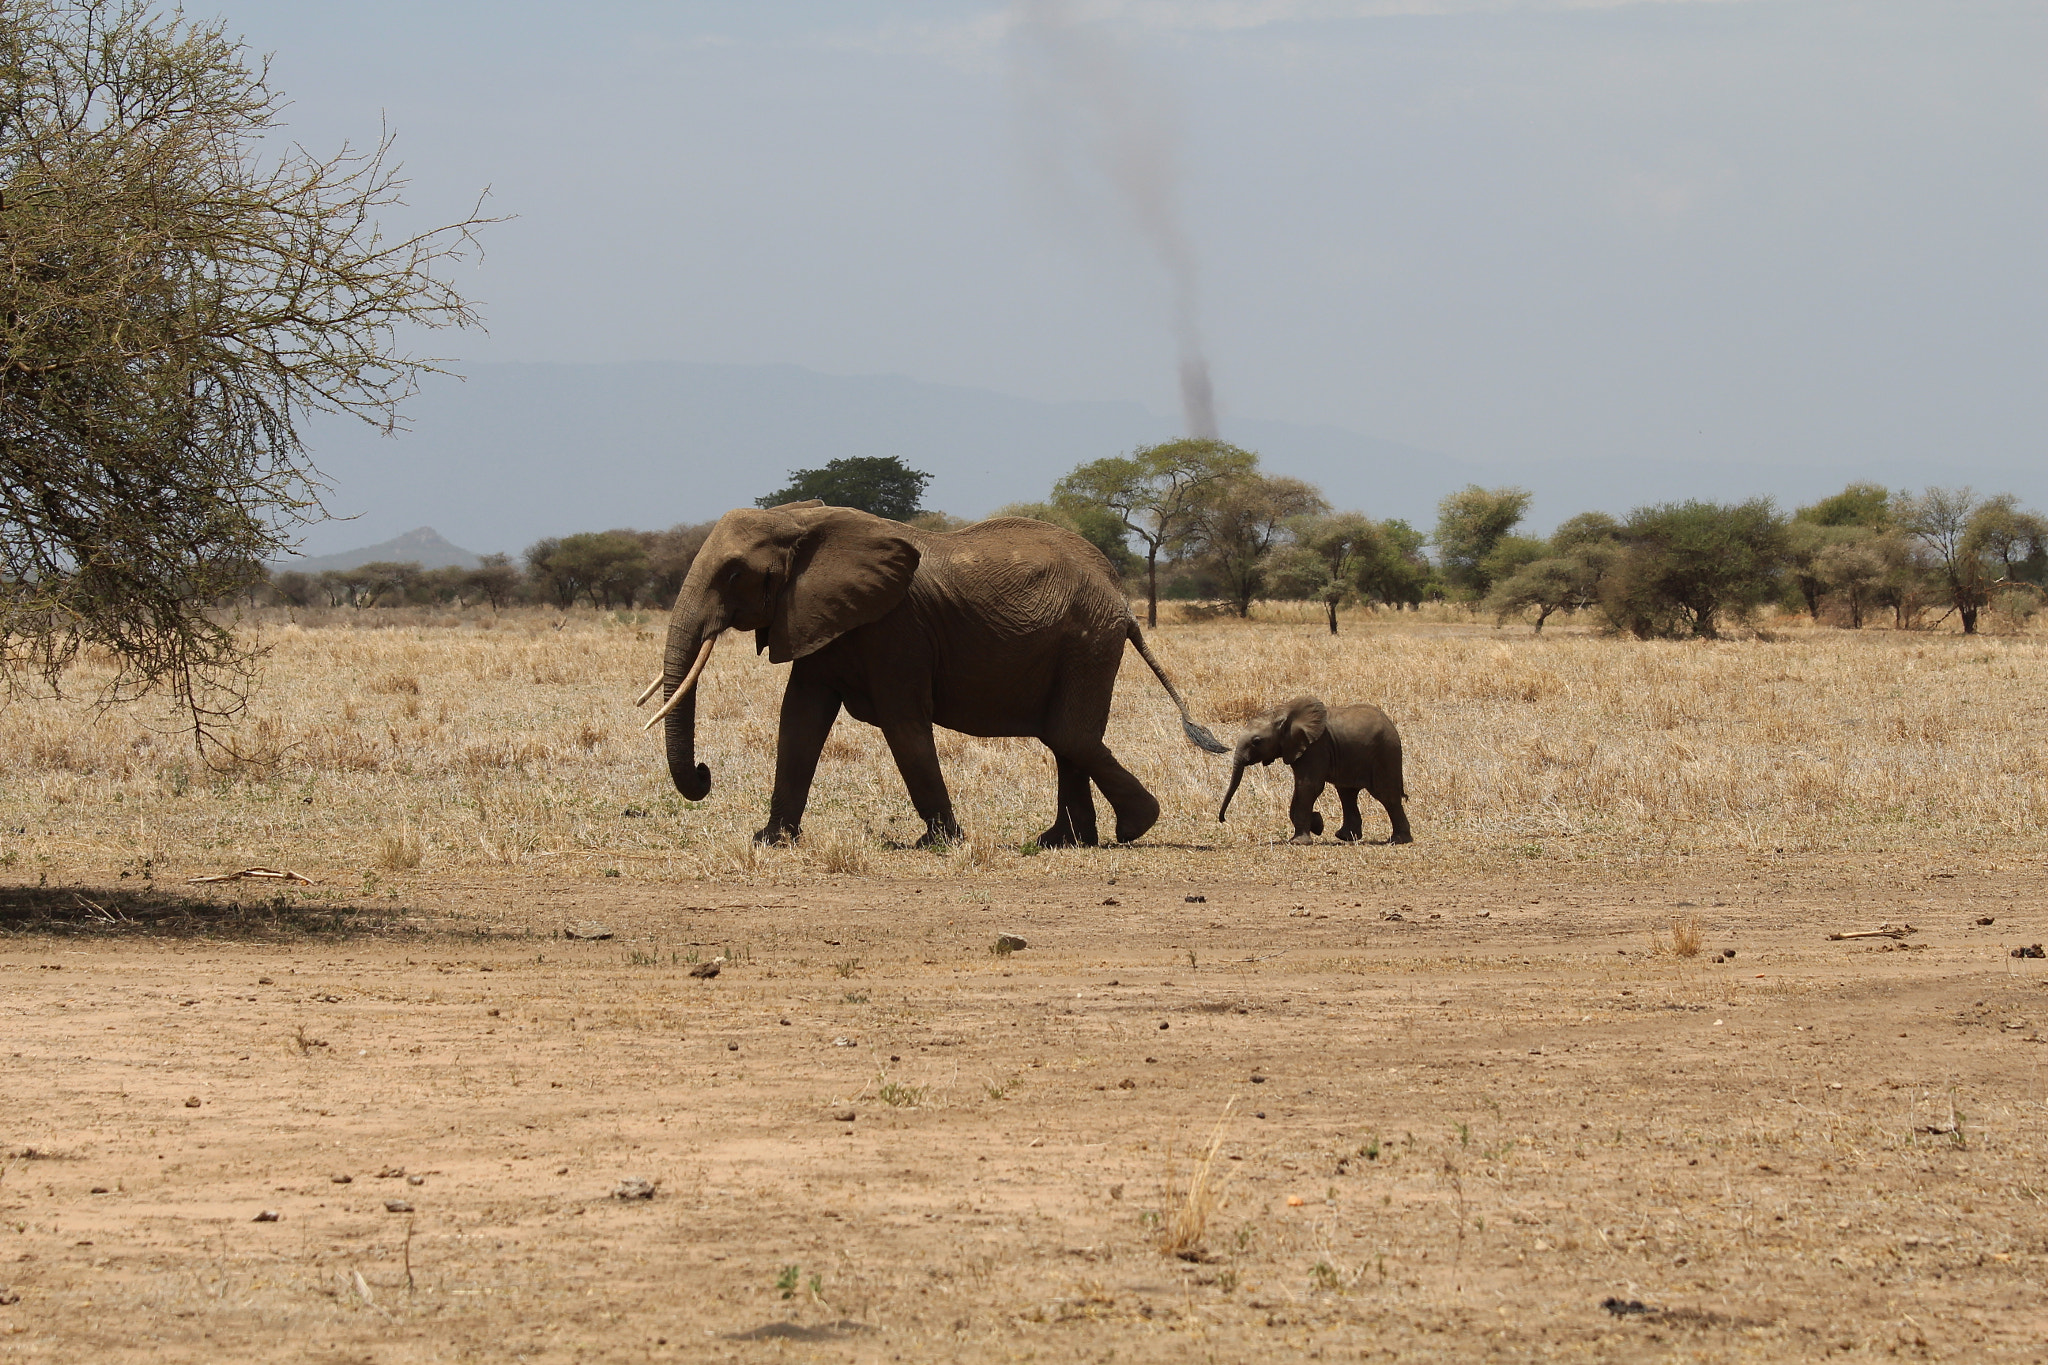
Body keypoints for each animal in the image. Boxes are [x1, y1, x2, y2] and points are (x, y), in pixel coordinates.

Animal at [638, 501, 1220, 843]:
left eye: (734, 573)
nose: (705, 774)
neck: (803, 522)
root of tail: (1120, 595)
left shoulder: (898, 628)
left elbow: (903, 723)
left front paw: (938, 843)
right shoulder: (818, 615)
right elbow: (800, 719)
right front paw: (772, 840)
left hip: (1088, 640)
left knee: (1069, 734)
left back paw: (1134, 826)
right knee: (1066, 739)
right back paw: (1064, 841)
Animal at [1212, 699, 1409, 847]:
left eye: (1256, 741)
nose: (1223, 820)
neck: (1285, 712)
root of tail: (1391, 725)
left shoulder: (1315, 747)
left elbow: (1308, 786)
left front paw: (1299, 841)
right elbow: (1304, 788)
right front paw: (1317, 824)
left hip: (1385, 753)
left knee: (1386, 794)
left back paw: (1398, 841)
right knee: (1347, 793)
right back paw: (1346, 837)